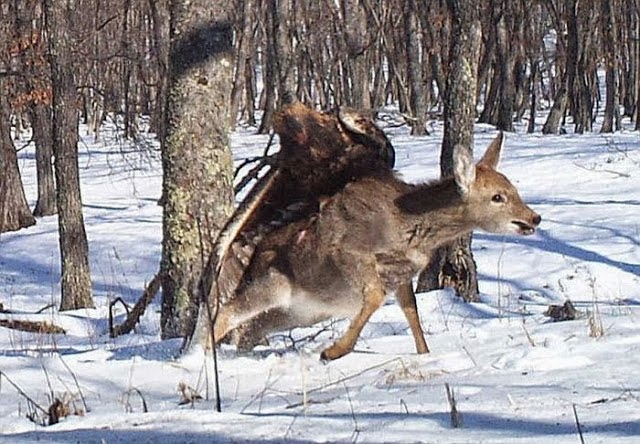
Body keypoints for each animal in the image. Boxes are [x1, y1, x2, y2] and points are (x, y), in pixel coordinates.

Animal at [210, 133, 540, 360]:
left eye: (514, 188)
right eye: (497, 197)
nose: (533, 217)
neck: (408, 227)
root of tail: (253, 257)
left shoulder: (403, 273)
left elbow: (411, 311)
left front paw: (425, 353)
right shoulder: (349, 251)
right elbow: (375, 296)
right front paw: (334, 351)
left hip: (299, 312)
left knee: (248, 332)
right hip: (271, 284)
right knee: (227, 313)